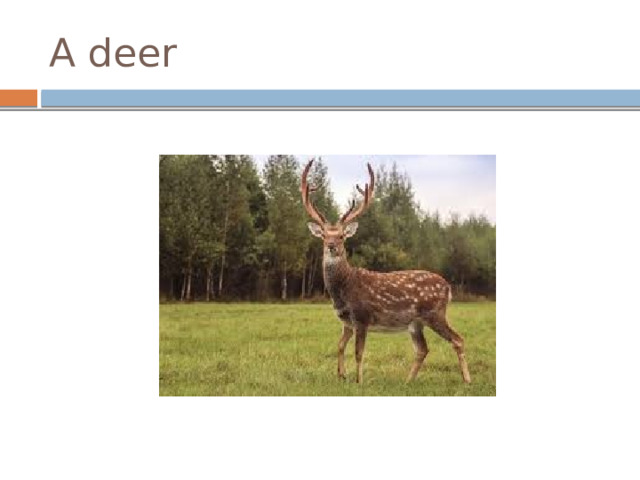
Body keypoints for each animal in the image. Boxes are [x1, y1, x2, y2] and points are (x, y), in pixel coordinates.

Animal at [301, 160, 471, 384]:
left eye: (341, 236)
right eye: (323, 236)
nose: (331, 246)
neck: (343, 289)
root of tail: (448, 287)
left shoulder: (362, 316)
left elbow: (358, 352)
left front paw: (359, 381)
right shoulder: (347, 321)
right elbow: (339, 346)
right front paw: (341, 375)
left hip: (435, 313)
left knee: (457, 339)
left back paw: (467, 380)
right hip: (415, 323)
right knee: (423, 349)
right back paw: (407, 381)